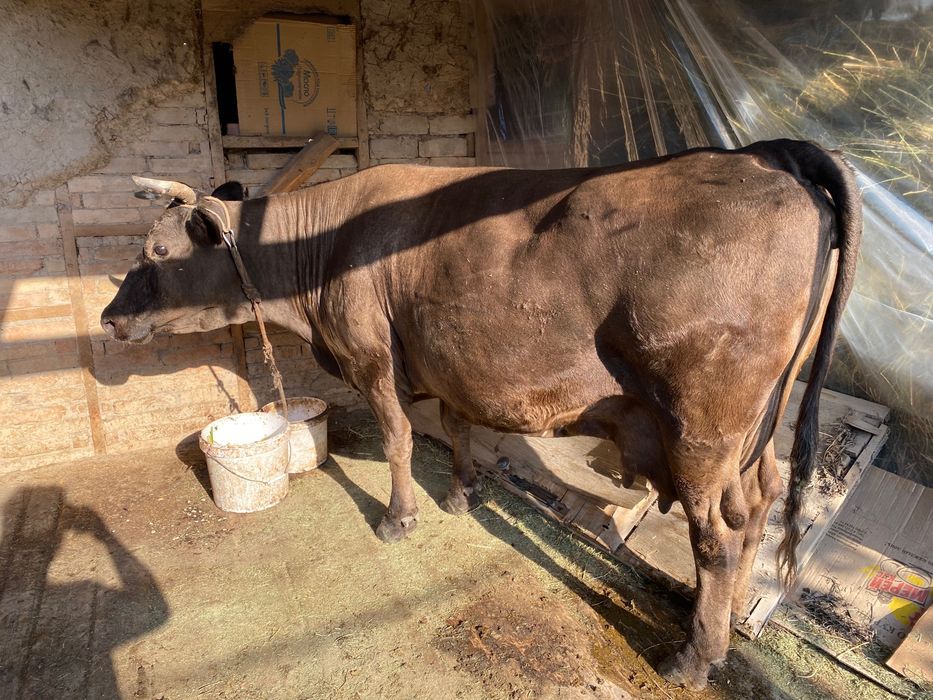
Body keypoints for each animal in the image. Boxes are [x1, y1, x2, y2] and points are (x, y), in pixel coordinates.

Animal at [101, 139, 860, 690]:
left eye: (157, 252)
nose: (108, 318)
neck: (320, 249)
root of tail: (767, 156)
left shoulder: (371, 357)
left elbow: (401, 440)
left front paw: (399, 518)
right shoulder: (443, 354)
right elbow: (457, 424)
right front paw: (462, 494)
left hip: (702, 431)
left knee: (718, 536)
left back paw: (692, 658)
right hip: (756, 432)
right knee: (757, 506)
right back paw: (729, 623)